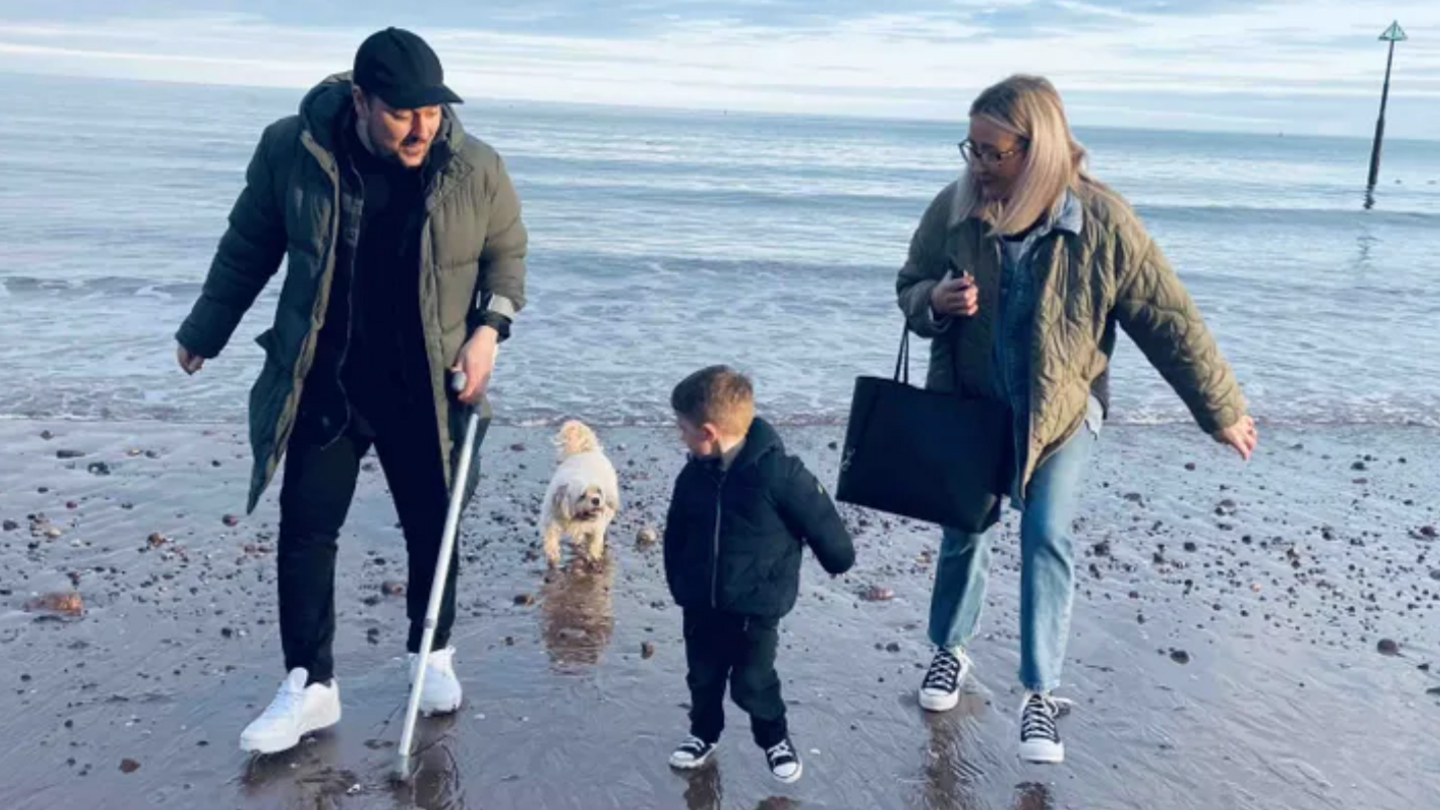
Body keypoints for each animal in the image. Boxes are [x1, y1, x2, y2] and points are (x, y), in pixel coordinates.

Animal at [541, 417, 619, 564]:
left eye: (598, 491)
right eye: (582, 495)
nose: (596, 500)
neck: (577, 517)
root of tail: (587, 451)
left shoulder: (596, 526)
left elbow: (595, 540)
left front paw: (593, 555)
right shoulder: (551, 519)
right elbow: (551, 537)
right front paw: (553, 554)